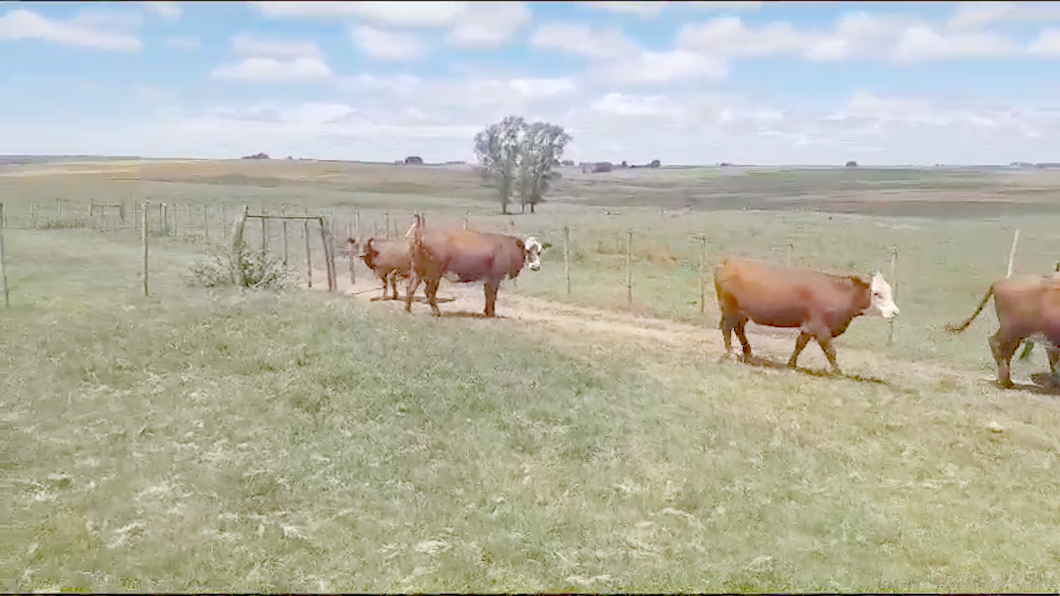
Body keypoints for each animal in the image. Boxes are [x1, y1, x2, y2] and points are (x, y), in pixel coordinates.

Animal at [404, 220, 551, 316]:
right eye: (527, 251)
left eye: (539, 252)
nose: (536, 266)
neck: (507, 247)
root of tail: (421, 235)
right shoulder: (495, 277)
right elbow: (492, 295)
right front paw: (491, 313)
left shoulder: (488, 278)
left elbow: (487, 294)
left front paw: (486, 311)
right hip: (433, 274)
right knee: (429, 292)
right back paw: (437, 312)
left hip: (417, 271)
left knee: (410, 288)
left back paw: (408, 309)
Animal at [716, 254, 898, 371]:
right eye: (877, 293)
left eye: (889, 291)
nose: (895, 312)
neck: (840, 293)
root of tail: (728, 262)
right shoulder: (821, 328)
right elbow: (831, 352)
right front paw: (838, 372)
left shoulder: (809, 327)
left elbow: (800, 344)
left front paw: (791, 364)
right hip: (731, 310)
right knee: (727, 328)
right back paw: (731, 353)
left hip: (740, 313)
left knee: (738, 329)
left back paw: (747, 353)